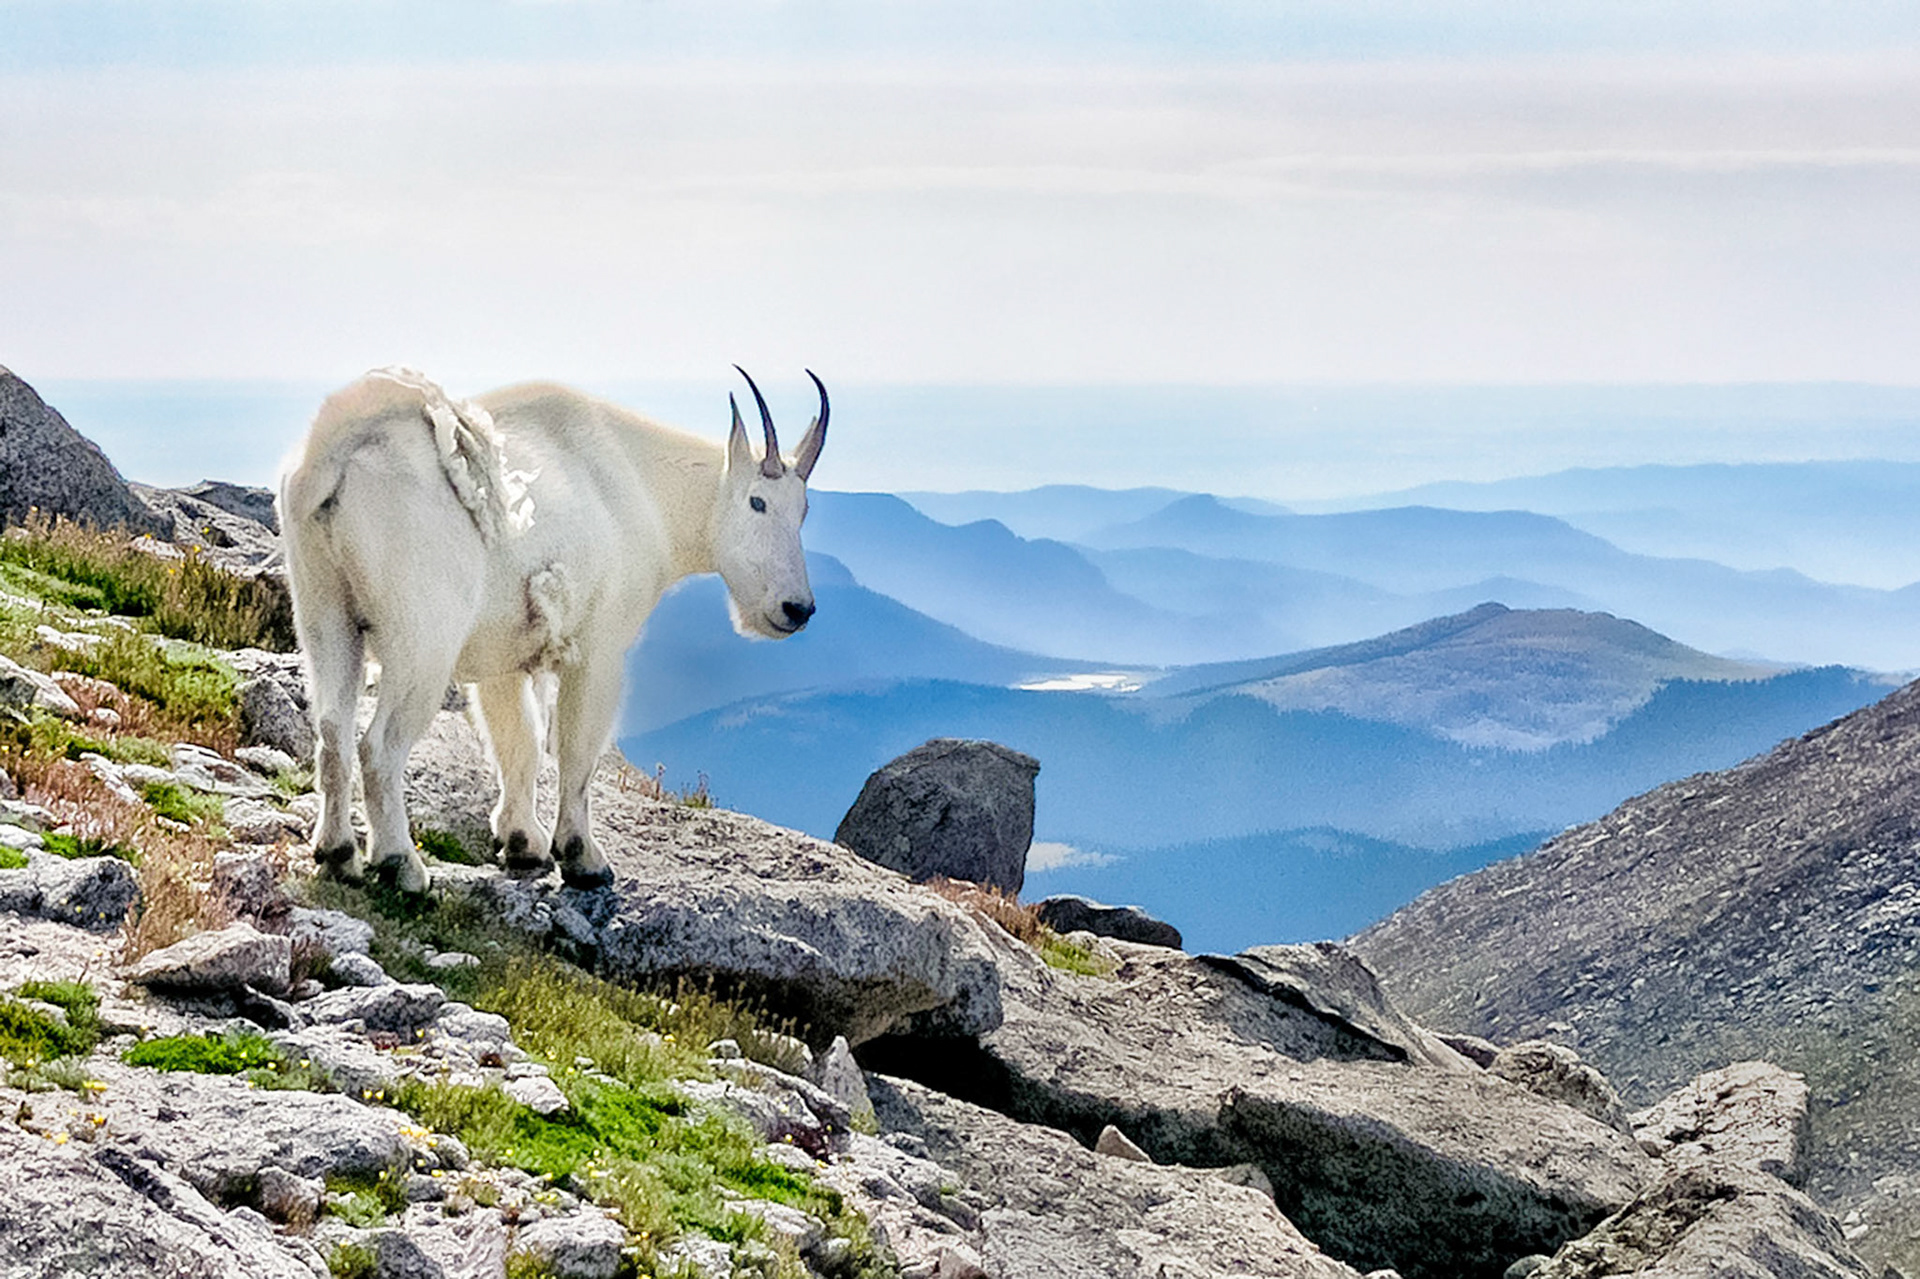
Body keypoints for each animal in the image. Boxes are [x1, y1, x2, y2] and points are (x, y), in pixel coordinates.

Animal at [277, 365, 827, 893]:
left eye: (803, 510)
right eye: (757, 501)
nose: (796, 608)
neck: (646, 488)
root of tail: (334, 453)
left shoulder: (501, 658)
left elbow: (518, 739)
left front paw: (523, 844)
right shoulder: (600, 647)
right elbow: (576, 749)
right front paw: (583, 858)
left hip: (324, 612)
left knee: (332, 731)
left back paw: (337, 855)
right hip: (423, 637)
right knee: (379, 746)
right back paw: (400, 866)